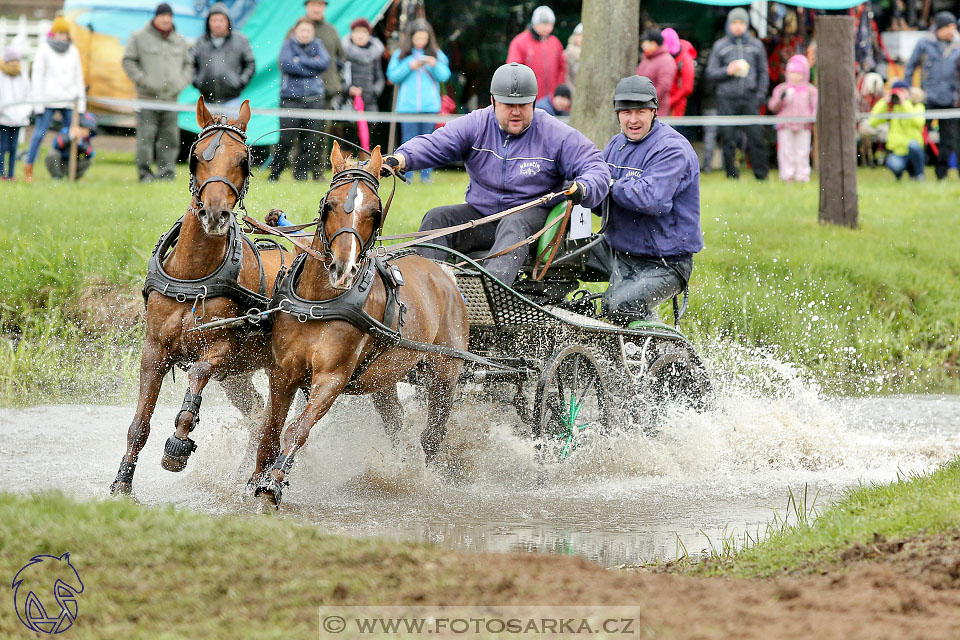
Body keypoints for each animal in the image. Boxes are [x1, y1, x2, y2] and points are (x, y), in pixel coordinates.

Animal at [109, 96, 288, 496]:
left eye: (244, 159)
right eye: (195, 157)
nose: (215, 213)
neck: (193, 275)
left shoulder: (222, 348)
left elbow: (198, 373)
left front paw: (179, 440)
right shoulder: (154, 351)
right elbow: (139, 424)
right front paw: (122, 482)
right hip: (240, 375)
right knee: (258, 415)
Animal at [251, 142, 468, 508]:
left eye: (375, 212)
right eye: (329, 204)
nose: (343, 268)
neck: (319, 303)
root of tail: (443, 272)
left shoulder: (332, 377)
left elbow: (297, 430)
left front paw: (273, 484)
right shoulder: (283, 373)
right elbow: (269, 430)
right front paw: (255, 478)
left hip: (443, 374)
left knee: (432, 435)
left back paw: (418, 476)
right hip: (384, 378)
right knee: (396, 422)